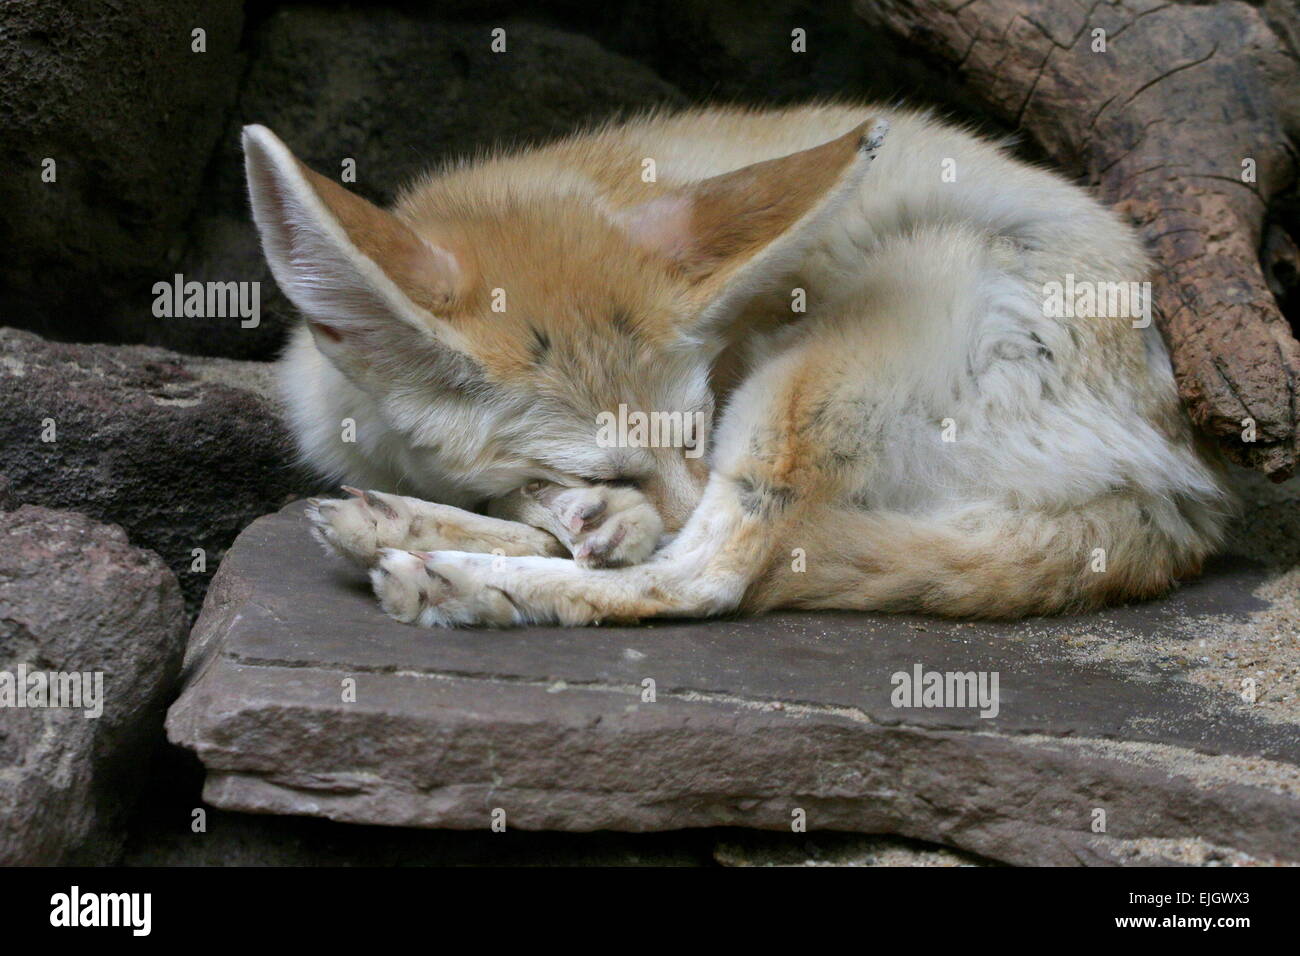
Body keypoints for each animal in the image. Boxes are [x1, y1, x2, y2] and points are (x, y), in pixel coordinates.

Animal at [241, 102, 1227, 629]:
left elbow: (683, 552)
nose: (615, 504)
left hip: (854, 330)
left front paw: (566, 535)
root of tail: (1178, 486)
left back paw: (468, 580)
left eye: (698, 424)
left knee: (713, 575)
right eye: (602, 462)